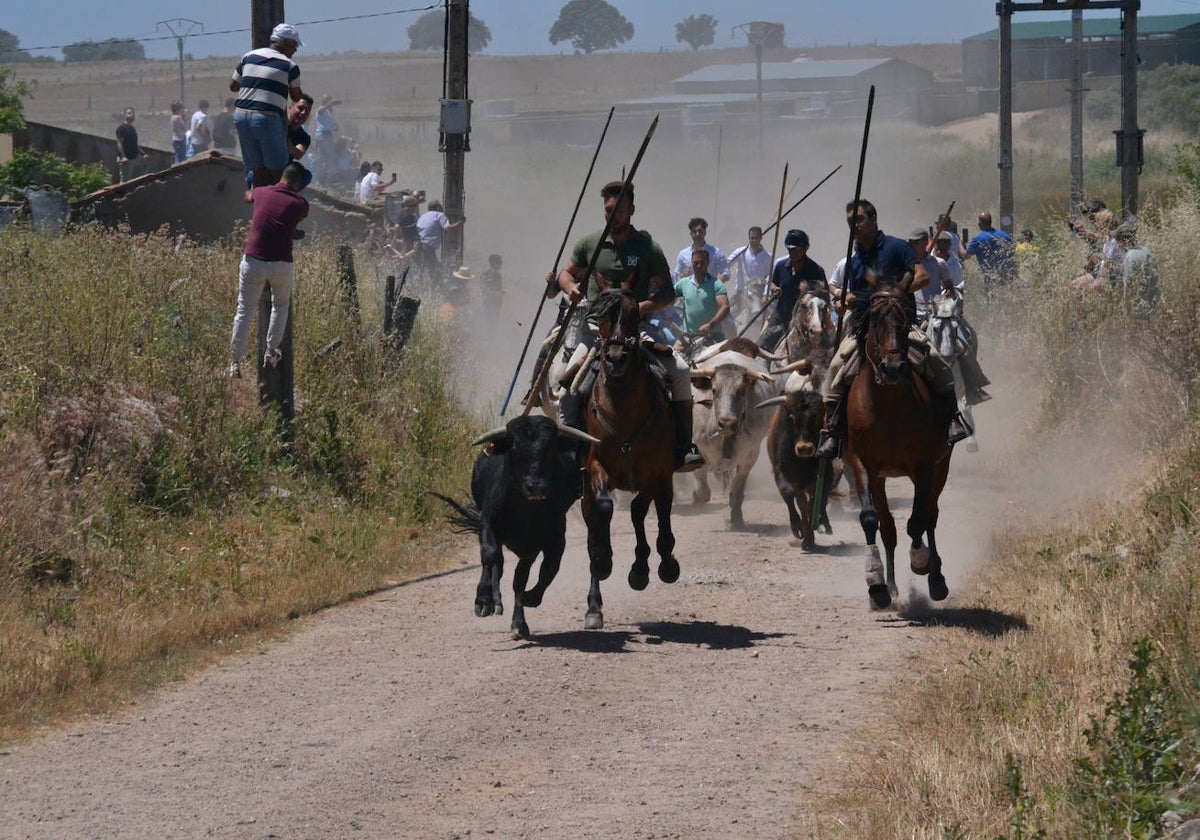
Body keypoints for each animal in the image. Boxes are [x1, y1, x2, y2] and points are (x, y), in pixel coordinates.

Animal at [434, 412, 597, 638]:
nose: (536, 486)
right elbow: (490, 555)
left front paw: (529, 599)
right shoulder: (488, 524)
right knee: (497, 564)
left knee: (518, 578)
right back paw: (494, 600)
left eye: (550, 448)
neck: (525, 511)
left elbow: (547, 570)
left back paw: (519, 623)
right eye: (515, 446)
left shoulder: (553, 540)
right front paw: (484, 601)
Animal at [583, 290, 681, 628]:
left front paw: (664, 566)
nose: (615, 359)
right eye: (600, 316)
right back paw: (594, 606)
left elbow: (659, 520)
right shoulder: (596, 468)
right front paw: (606, 560)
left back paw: (641, 568)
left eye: (635, 314)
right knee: (593, 532)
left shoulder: (660, 475)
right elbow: (605, 508)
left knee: (639, 511)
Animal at [844, 285, 955, 607]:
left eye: (906, 321)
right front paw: (877, 585)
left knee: (930, 515)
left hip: (942, 467)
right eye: (875, 320)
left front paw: (922, 562)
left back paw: (936, 578)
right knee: (888, 527)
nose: (892, 368)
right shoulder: (862, 464)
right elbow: (872, 520)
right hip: (881, 478)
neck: (889, 406)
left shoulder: (925, 467)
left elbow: (917, 521)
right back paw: (891, 586)